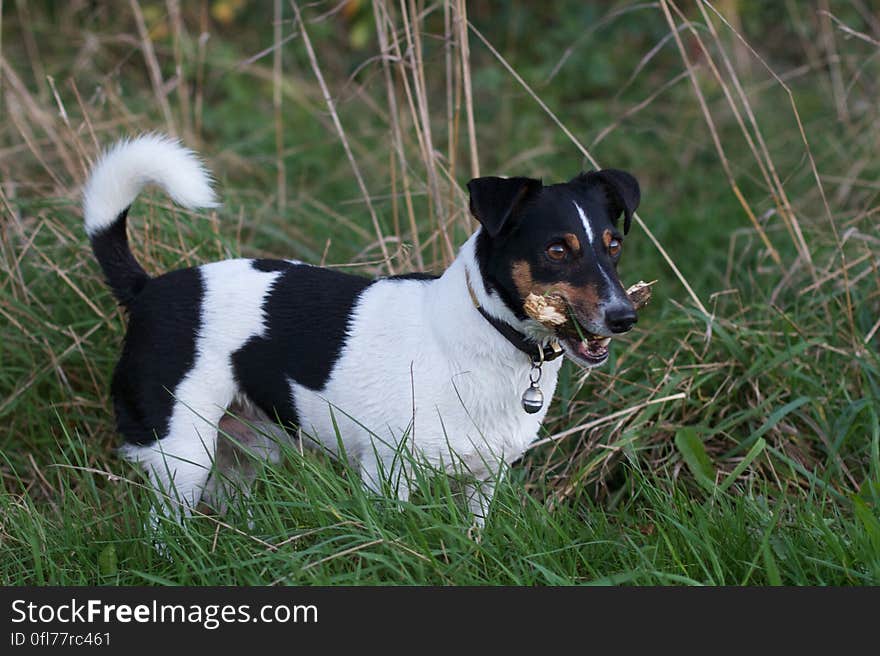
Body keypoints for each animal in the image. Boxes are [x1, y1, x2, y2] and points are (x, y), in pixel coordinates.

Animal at [84, 135, 640, 528]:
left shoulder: (483, 482)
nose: (624, 317)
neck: (483, 340)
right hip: (182, 453)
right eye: (557, 250)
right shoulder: (388, 475)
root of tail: (147, 289)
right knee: (166, 528)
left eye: (613, 245)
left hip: (245, 447)